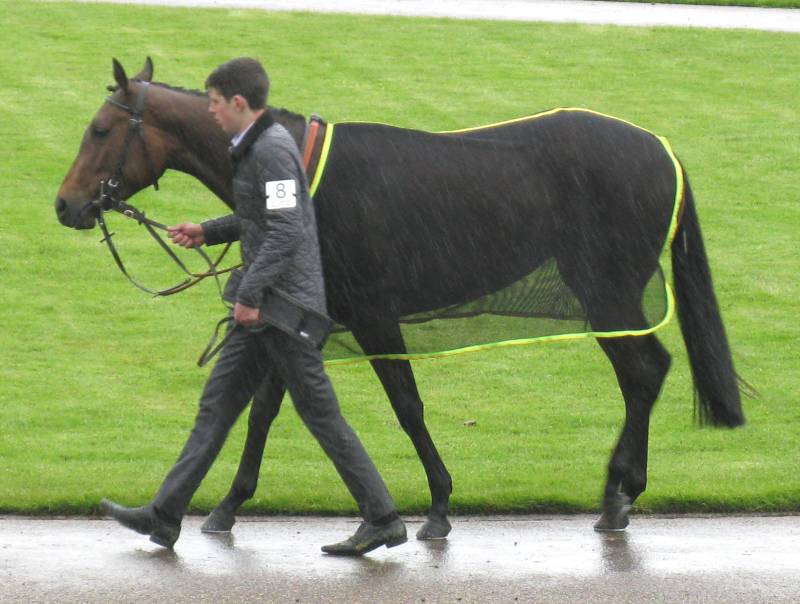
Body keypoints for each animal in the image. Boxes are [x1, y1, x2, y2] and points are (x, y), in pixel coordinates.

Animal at [55, 58, 745, 539]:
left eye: (99, 129)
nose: (65, 205)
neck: (302, 171)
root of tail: (661, 149)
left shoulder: (375, 317)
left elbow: (406, 406)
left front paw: (436, 505)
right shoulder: (294, 313)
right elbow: (262, 408)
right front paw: (223, 506)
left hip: (606, 292)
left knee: (644, 371)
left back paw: (617, 493)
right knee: (641, 374)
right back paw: (622, 493)